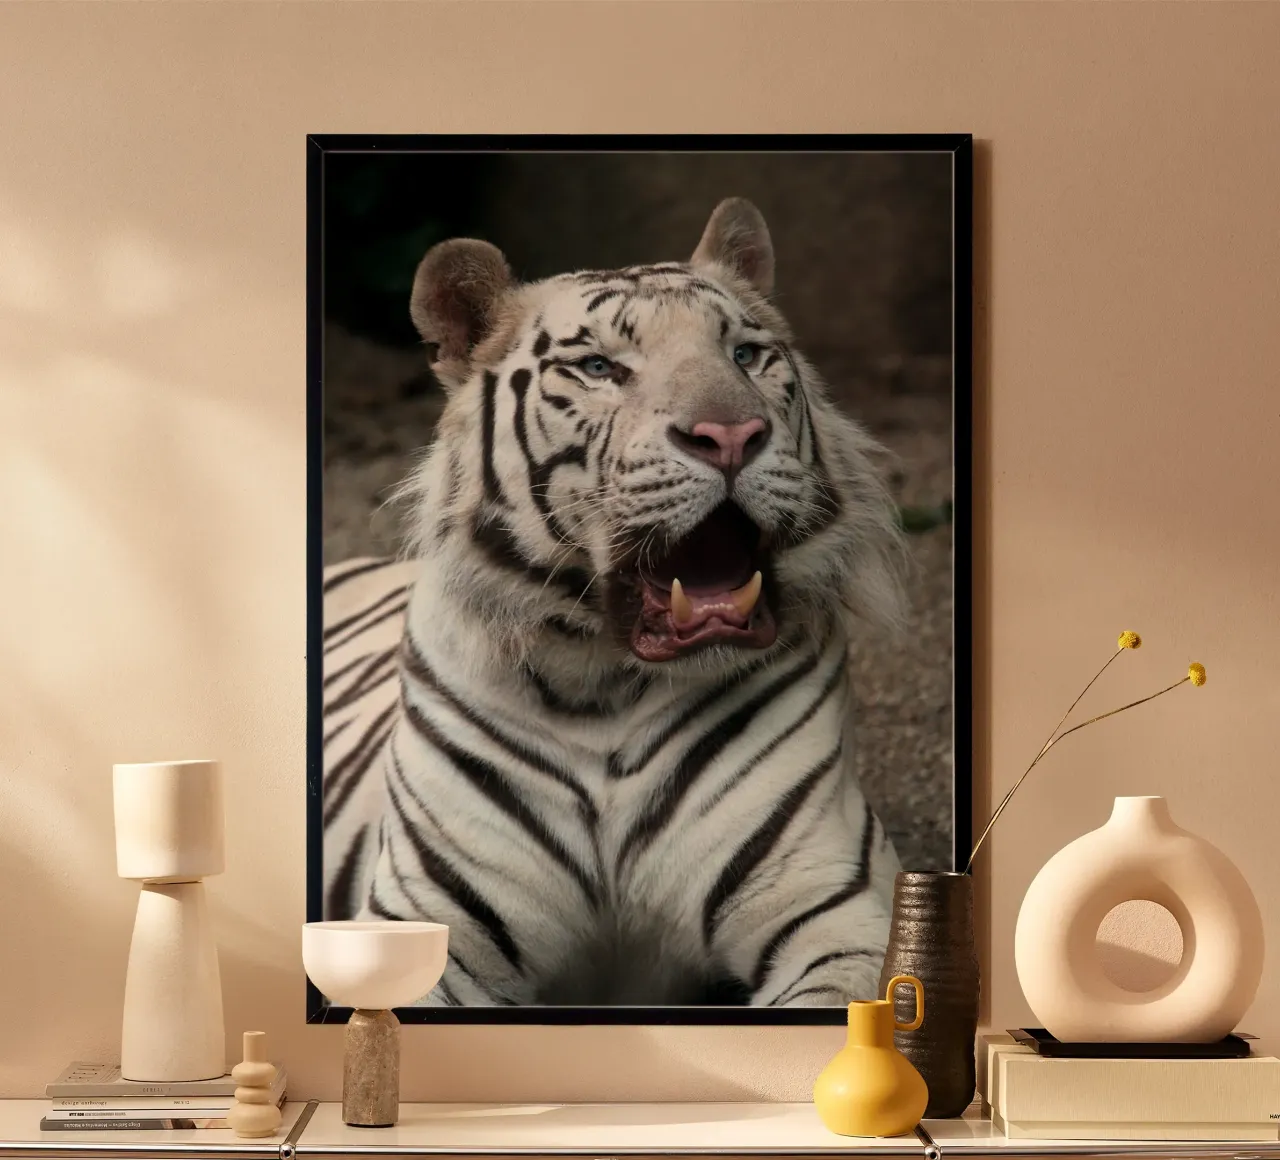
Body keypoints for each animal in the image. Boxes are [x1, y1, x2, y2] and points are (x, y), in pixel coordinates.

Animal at [320, 197, 910, 1008]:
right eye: (601, 368)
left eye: (746, 355)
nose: (732, 434)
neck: (601, 682)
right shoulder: (432, 916)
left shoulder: (832, 902)